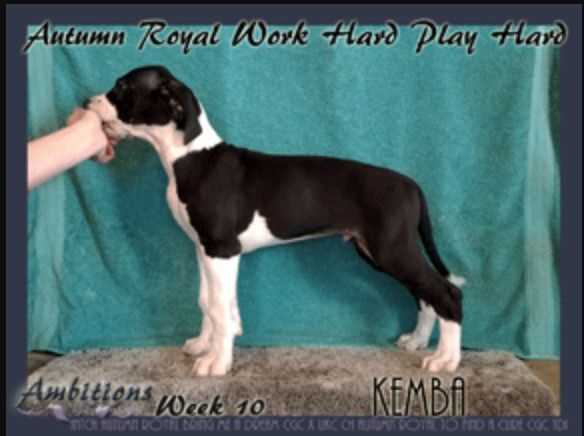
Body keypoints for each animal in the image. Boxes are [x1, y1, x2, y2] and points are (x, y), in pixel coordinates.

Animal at [86, 65, 465, 377]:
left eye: (121, 87)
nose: (87, 102)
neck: (189, 155)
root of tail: (411, 185)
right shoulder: (205, 249)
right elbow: (209, 301)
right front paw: (205, 345)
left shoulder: (221, 249)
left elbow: (220, 308)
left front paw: (216, 363)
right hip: (378, 251)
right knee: (423, 294)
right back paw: (417, 341)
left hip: (391, 247)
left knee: (445, 292)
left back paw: (445, 359)